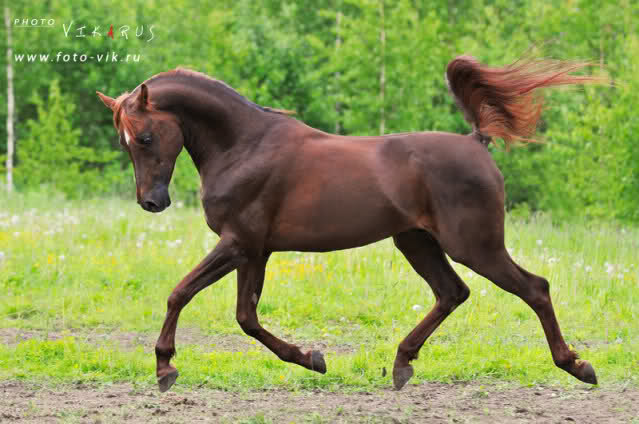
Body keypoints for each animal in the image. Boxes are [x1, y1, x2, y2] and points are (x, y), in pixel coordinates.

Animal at [97, 54, 604, 392]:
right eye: (124, 142)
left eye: (145, 137)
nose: (152, 202)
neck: (244, 147)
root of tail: (476, 141)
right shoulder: (255, 250)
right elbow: (246, 317)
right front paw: (312, 359)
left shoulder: (238, 243)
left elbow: (181, 292)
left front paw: (165, 368)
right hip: (416, 242)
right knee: (452, 293)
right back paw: (401, 364)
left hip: (475, 245)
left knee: (534, 287)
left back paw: (578, 367)